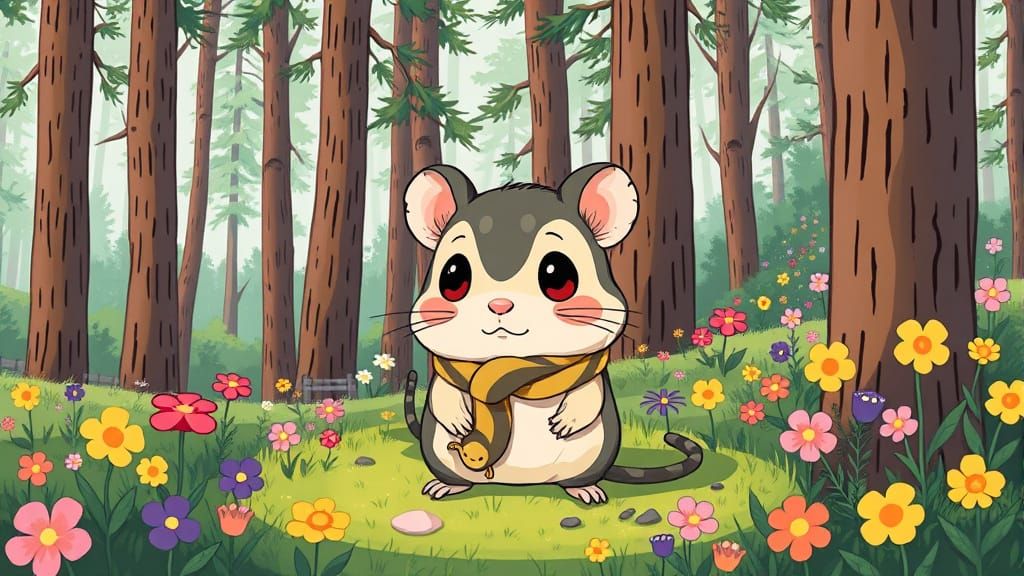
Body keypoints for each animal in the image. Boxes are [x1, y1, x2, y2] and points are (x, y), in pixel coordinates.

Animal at [400, 162, 703, 505]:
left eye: (557, 275)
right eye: (453, 276)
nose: (500, 304)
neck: (511, 366)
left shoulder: (590, 370)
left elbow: (589, 393)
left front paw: (568, 421)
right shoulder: (447, 371)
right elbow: (443, 393)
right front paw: (458, 419)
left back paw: (583, 488)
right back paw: (449, 484)